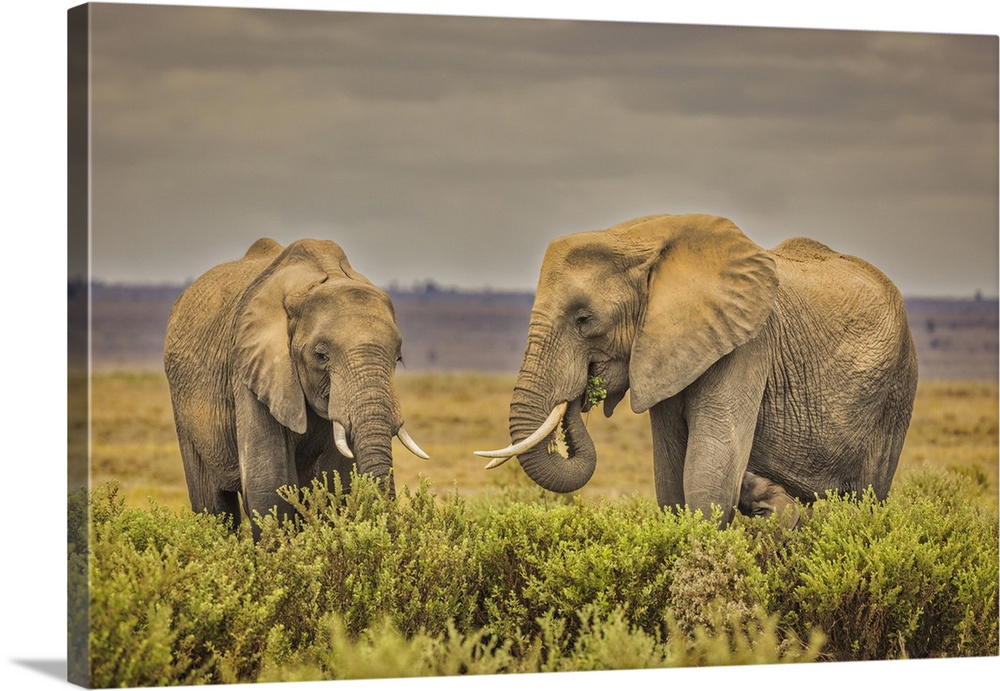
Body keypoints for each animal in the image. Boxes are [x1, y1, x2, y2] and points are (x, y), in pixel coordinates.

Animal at [164, 237, 428, 537]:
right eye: (321, 356)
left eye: (398, 358)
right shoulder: (249, 368)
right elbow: (269, 486)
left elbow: (336, 483)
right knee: (213, 508)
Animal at [476, 214, 918, 526]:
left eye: (584, 319)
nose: (582, 392)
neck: (641, 240)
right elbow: (672, 483)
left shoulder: (747, 345)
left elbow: (707, 482)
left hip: (896, 392)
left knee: (867, 499)